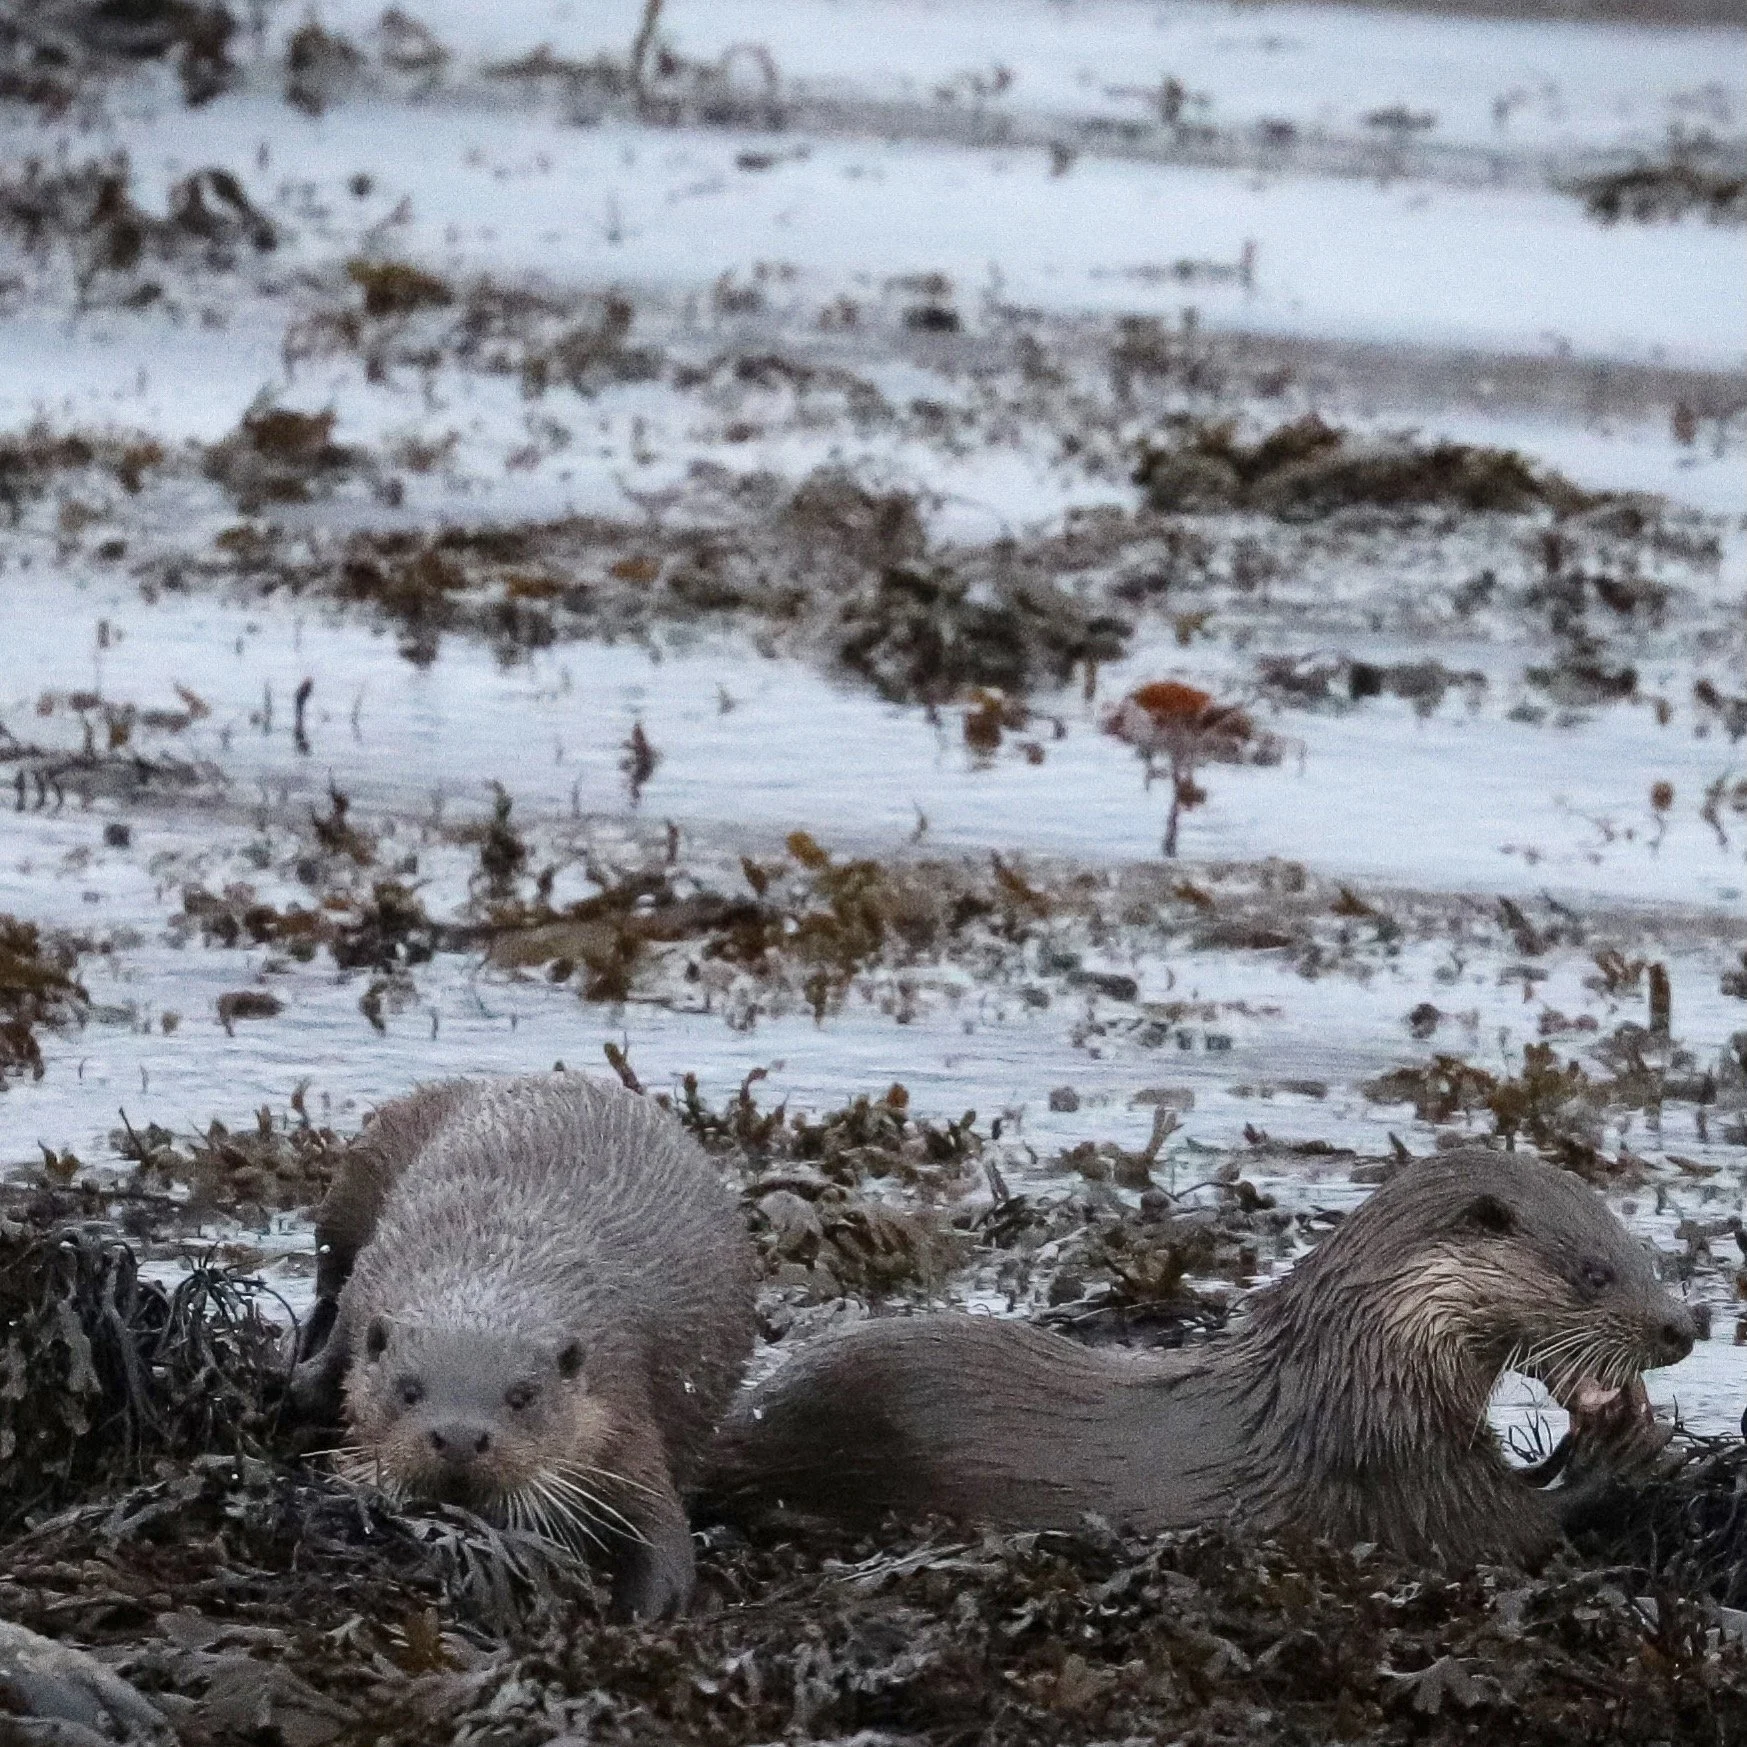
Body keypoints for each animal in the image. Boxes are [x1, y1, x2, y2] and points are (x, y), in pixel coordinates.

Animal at [293, 1074, 756, 1620]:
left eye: (522, 1397)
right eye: (408, 1391)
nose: (459, 1437)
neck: (495, 1263)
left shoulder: (620, 1411)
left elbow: (658, 1528)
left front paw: (643, 1615)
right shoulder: (368, 1284)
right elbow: (338, 1344)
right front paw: (301, 1384)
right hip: (357, 1177)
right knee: (329, 1270)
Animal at [706, 1149, 1696, 1566]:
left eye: (1645, 1253)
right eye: (1594, 1270)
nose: (1683, 1328)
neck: (1358, 1370)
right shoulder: (1394, 1469)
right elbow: (1515, 1528)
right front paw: (1619, 1449)